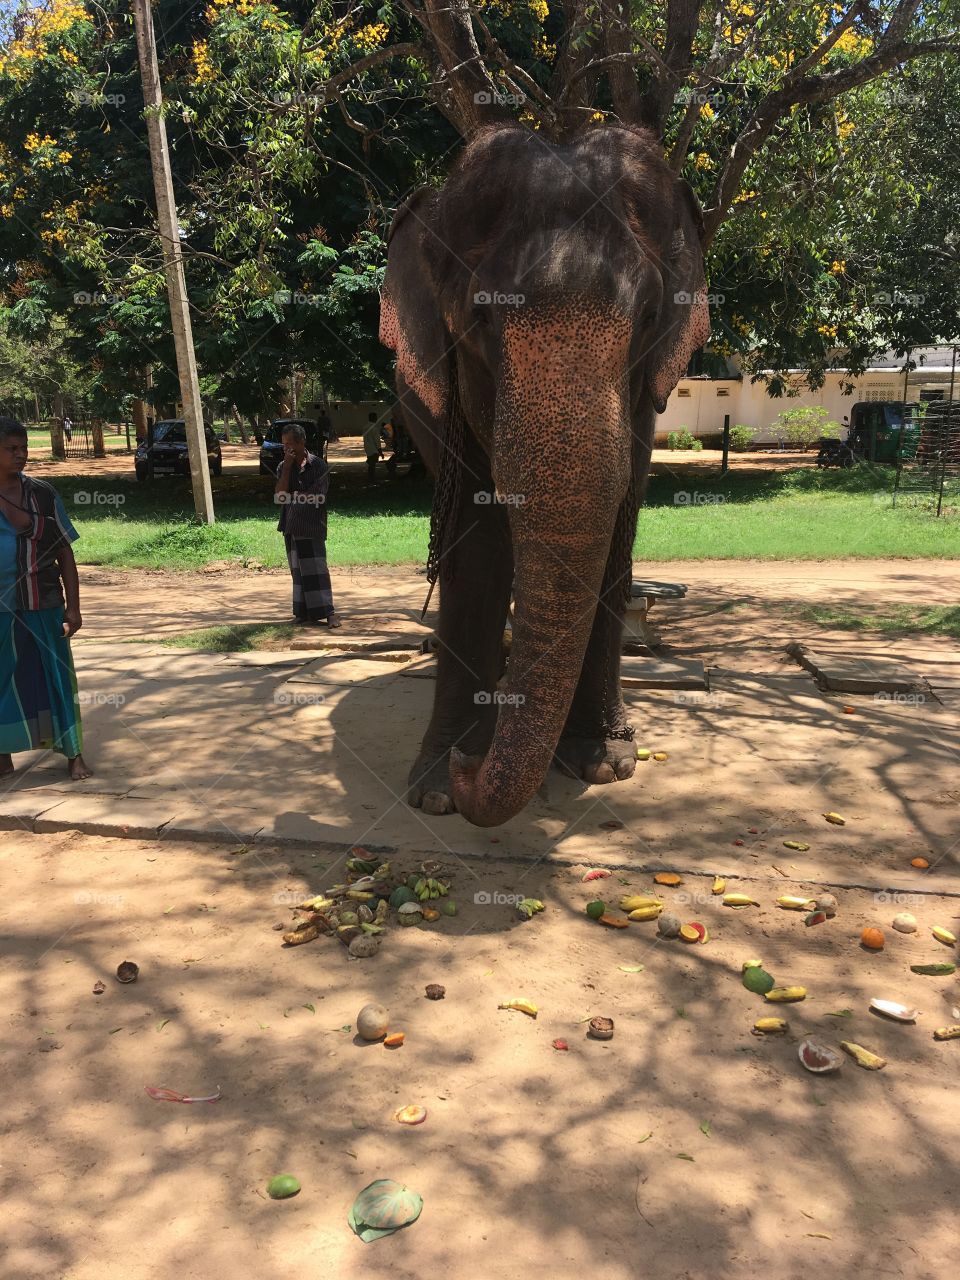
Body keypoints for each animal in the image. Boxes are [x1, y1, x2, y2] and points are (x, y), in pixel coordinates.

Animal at [379, 123, 710, 828]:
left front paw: (604, 764)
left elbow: (617, 529)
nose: (468, 769)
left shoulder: (643, 401)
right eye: (480, 318)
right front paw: (439, 790)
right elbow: (476, 542)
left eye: (648, 319)